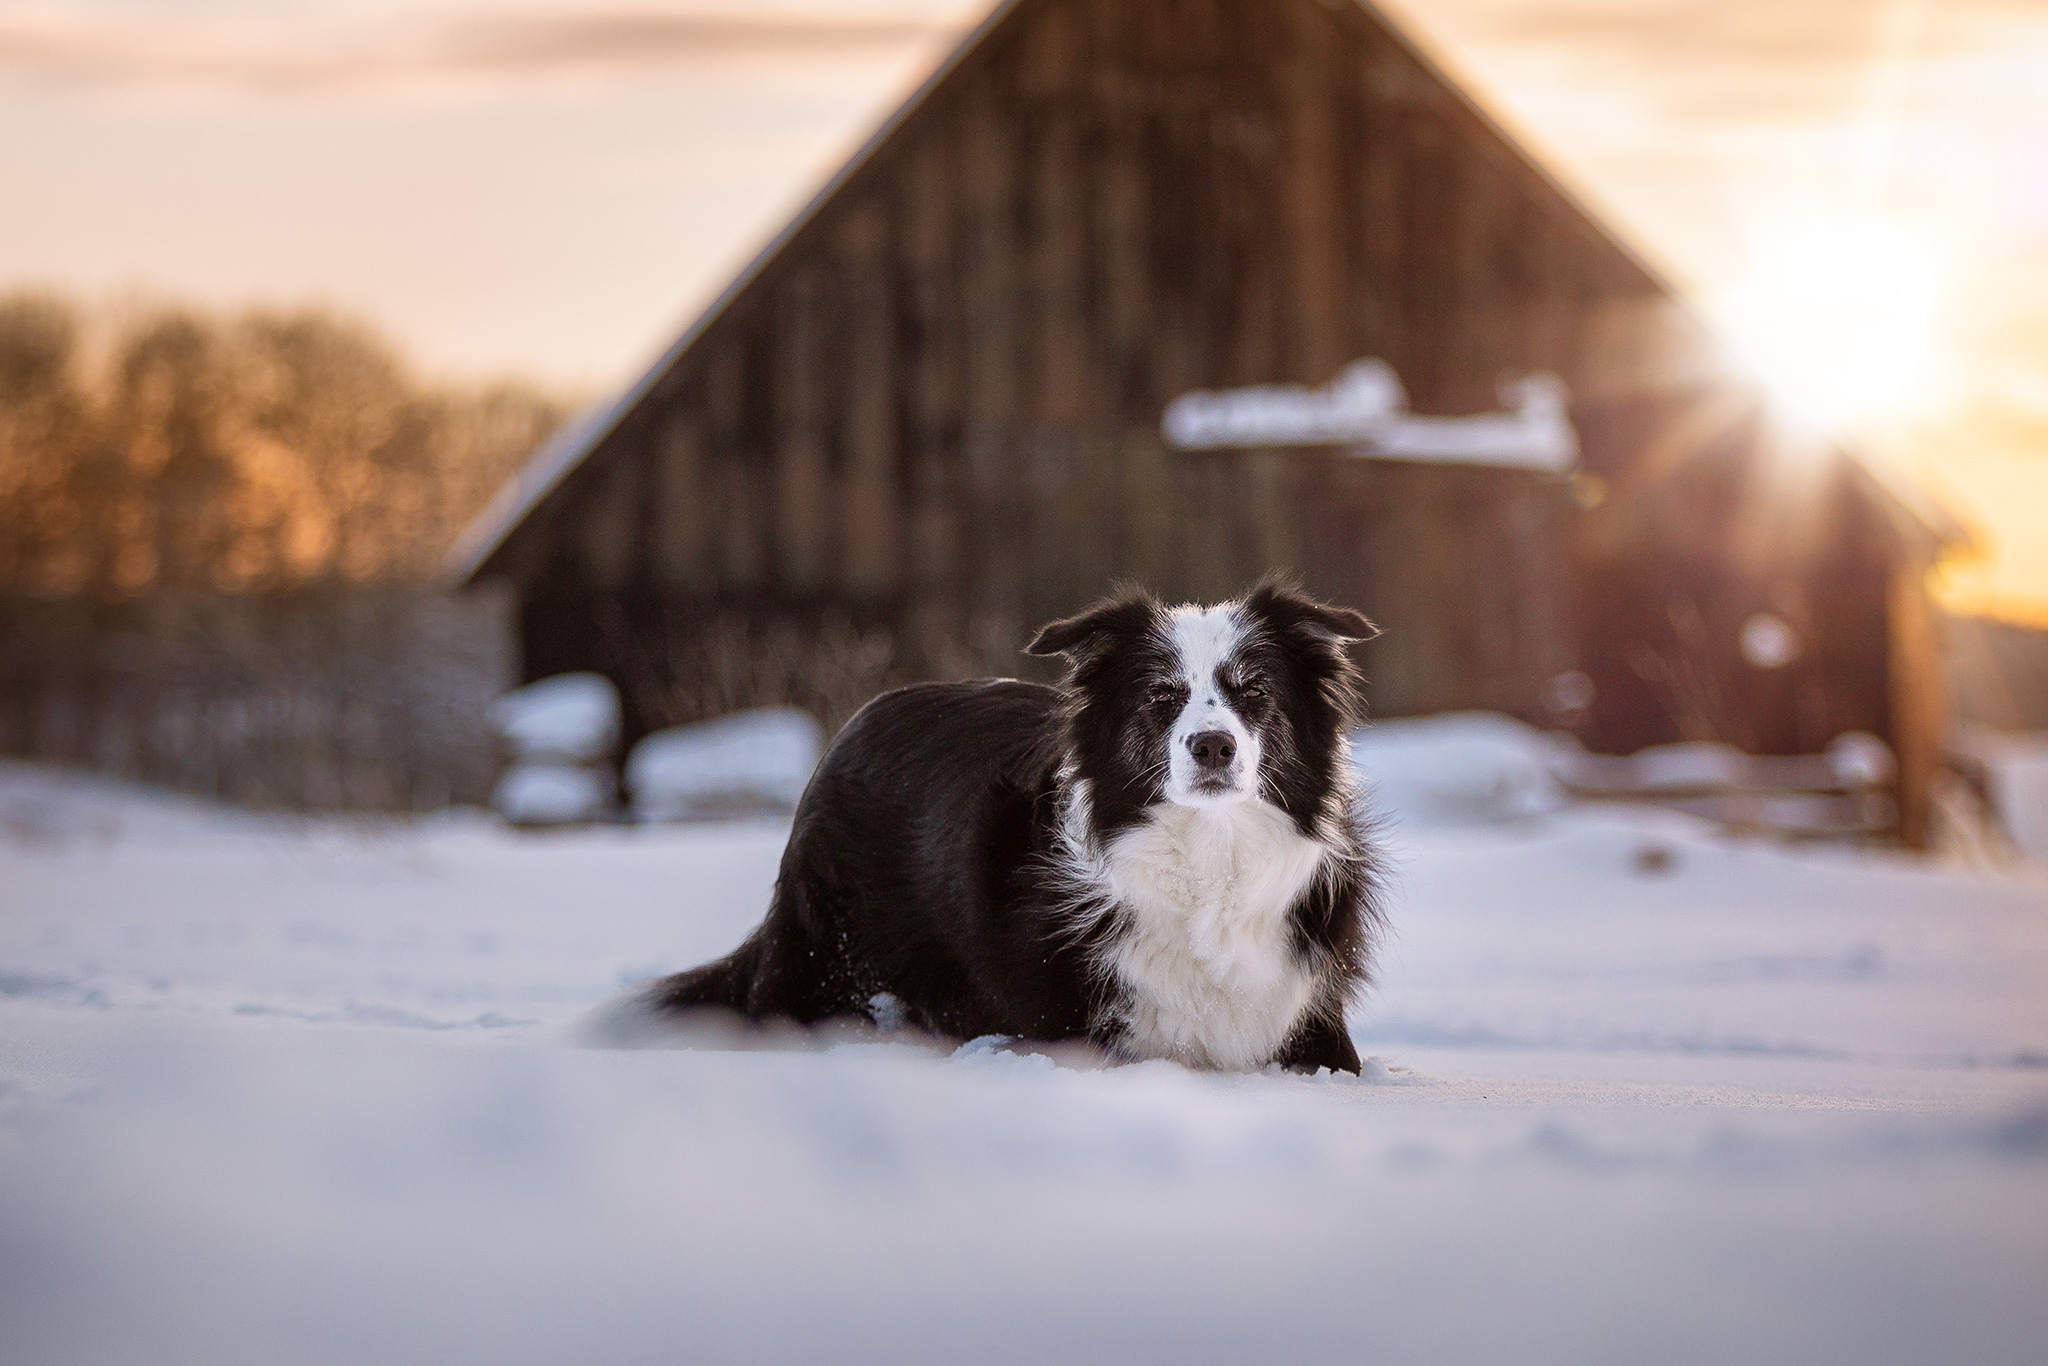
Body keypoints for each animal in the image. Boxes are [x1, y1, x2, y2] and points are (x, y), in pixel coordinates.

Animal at [647, 577, 1384, 1081]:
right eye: (1161, 695)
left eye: (1255, 690)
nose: (1212, 746)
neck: (1212, 856)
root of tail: (852, 730)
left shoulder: (1312, 1023)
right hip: (826, 960)